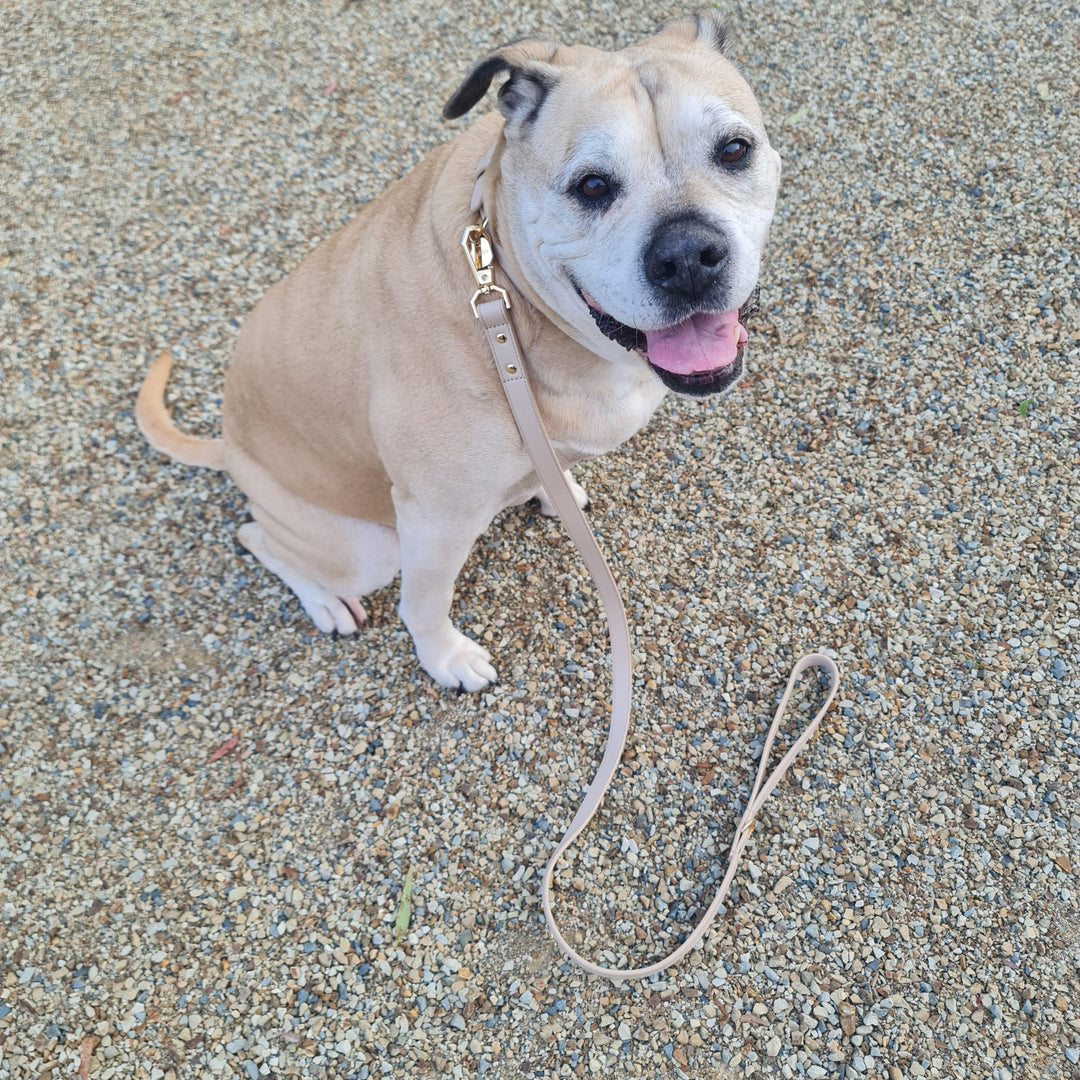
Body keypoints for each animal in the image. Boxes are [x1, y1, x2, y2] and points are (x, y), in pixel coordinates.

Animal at [137, 12, 777, 691]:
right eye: (592, 185)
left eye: (733, 150)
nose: (688, 258)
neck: (511, 303)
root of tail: (229, 445)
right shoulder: (434, 520)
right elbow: (425, 601)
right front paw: (445, 658)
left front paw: (554, 487)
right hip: (365, 547)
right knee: (257, 536)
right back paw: (325, 601)